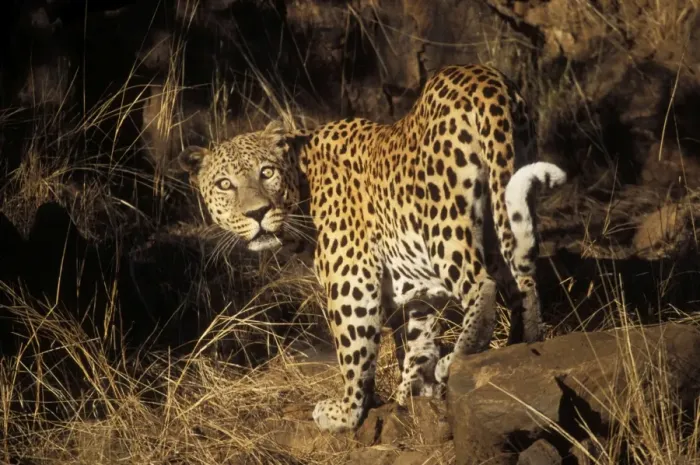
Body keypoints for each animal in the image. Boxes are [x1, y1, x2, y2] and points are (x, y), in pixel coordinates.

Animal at [178, 64, 567, 433]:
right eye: (224, 184)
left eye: (266, 172)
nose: (257, 213)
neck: (302, 183)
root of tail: (484, 80)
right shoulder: (414, 290)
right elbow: (416, 341)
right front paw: (410, 391)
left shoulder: (352, 279)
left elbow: (354, 351)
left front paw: (346, 412)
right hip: (504, 207)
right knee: (523, 283)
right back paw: (521, 345)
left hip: (444, 222)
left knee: (481, 285)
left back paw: (454, 361)